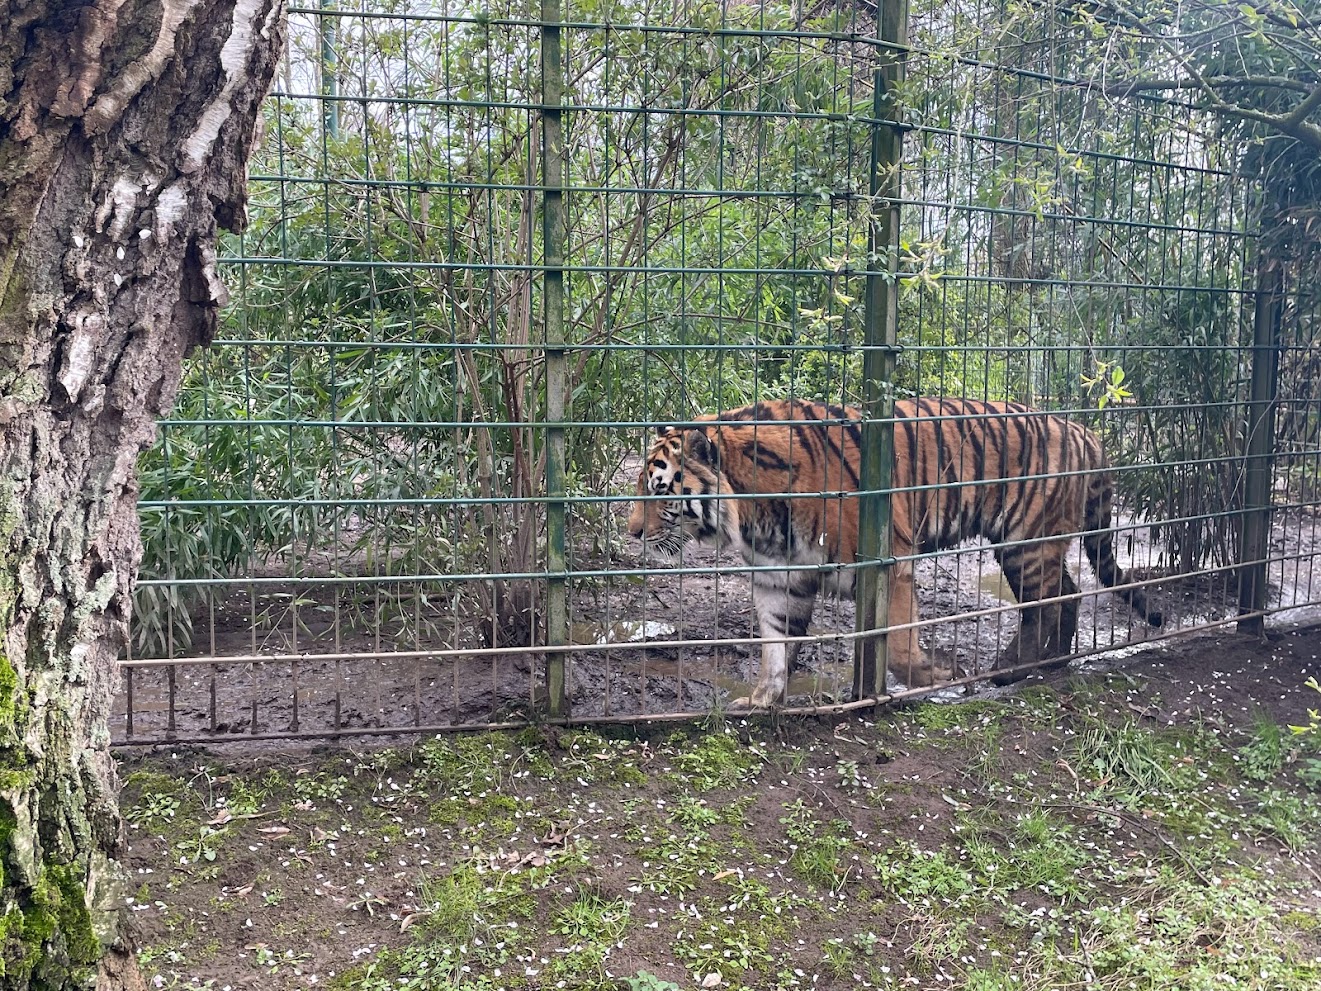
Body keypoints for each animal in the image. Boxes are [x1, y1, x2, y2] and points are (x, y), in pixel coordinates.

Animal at [626, 398, 1162, 707]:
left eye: (658, 491)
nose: (631, 532)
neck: (755, 511)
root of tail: (1083, 431)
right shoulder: (781, 577)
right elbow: (775, 646)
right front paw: (761, 701)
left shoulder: (890, 563)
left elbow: (899, 647)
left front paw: (944, 675)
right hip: (1031, 543)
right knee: (1067, 592)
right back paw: (1048, 664)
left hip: (1025, 539)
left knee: (1047, 603)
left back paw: (1015, 669)